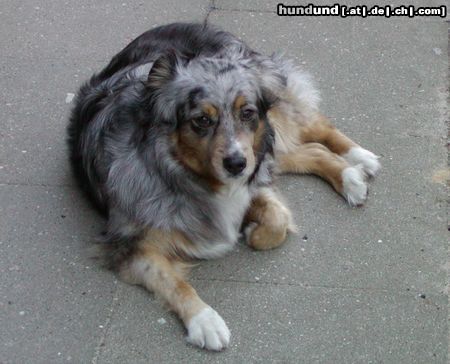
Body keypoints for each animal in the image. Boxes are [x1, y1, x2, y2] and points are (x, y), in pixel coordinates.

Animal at [67, 22, 380, 350]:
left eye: (247, 113)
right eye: (202, 120)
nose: (236, 164)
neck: (183, 172)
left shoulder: (253, 178)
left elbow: (277, 220)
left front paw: (253, 232)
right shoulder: (128, 245)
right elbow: (172, 282)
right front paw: (205, 320)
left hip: (269, 134)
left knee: (315, 127)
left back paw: (359, 159)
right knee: (312, 151)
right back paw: (350, 175)